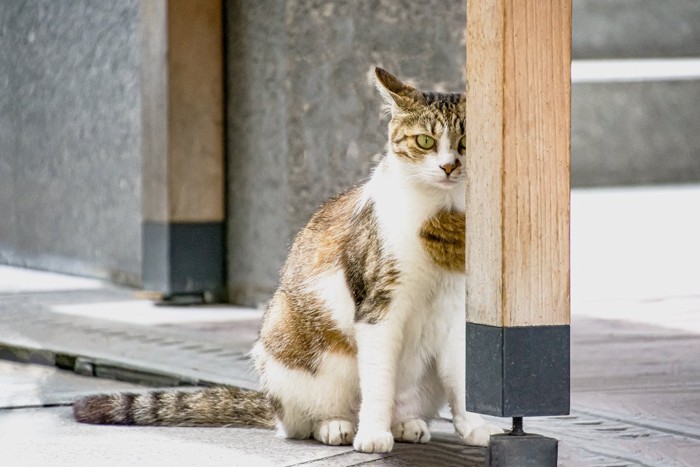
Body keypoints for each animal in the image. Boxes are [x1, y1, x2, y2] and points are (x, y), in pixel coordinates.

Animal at [74, 68, 504, 454]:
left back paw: (405, 423)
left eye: (466, 141)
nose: (449, 166)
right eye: (425, 141)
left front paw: (474, 426)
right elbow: (378, 379)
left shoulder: (457, 310)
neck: (443, 219)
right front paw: (371, 434)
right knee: (300, 425)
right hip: (286, 340)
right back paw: (337, 425)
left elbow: (463, 376)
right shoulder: (378, 307)